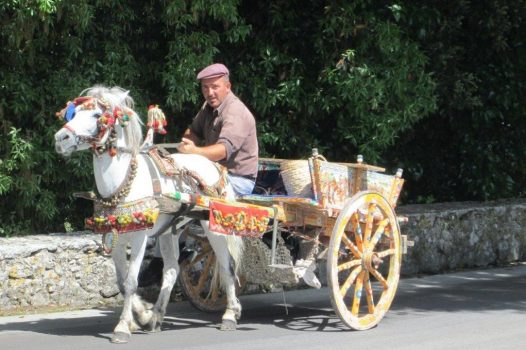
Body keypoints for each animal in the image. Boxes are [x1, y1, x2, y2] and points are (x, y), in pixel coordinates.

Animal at [54, 86, 244, 344]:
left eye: (96, 115)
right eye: (72, 114)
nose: (60, 139)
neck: (124, 183)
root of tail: (214, 166)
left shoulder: (140, 236)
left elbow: (132, 280)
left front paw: (123, 327)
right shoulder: (115, 236)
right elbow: (122, 282)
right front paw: (142, 315)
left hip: (213, 226)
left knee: (227, 264)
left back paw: (230, 315)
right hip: (169, 230)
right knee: (172, 269)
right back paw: (156, 318)